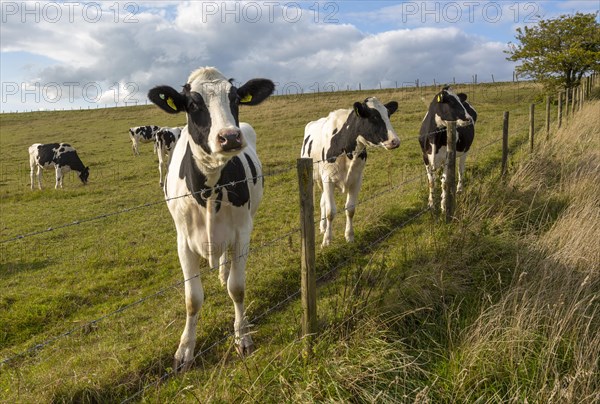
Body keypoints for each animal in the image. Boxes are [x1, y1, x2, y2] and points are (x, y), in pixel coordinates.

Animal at [148, 66, 274, 372]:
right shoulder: (183, 241)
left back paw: (222, 273)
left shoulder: (242, 232)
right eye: (193, 104)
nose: (230, 137)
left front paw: (242, 336)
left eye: (236, 99)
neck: (210, 187)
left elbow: (237, 288)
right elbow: (192, 299)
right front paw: (185, 350)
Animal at [302, 98, 400, 249]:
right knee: (320, 203)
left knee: (323, 201)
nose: (395, 141)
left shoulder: (356, 179)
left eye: (388, 115)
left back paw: (323, 227)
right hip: (314, 178)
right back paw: (323, 227)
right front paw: (327, 240)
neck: (347, 150)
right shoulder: (328, 179)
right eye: (373, 117)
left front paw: (349, 236)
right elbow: (331, 212)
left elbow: (350, 209)